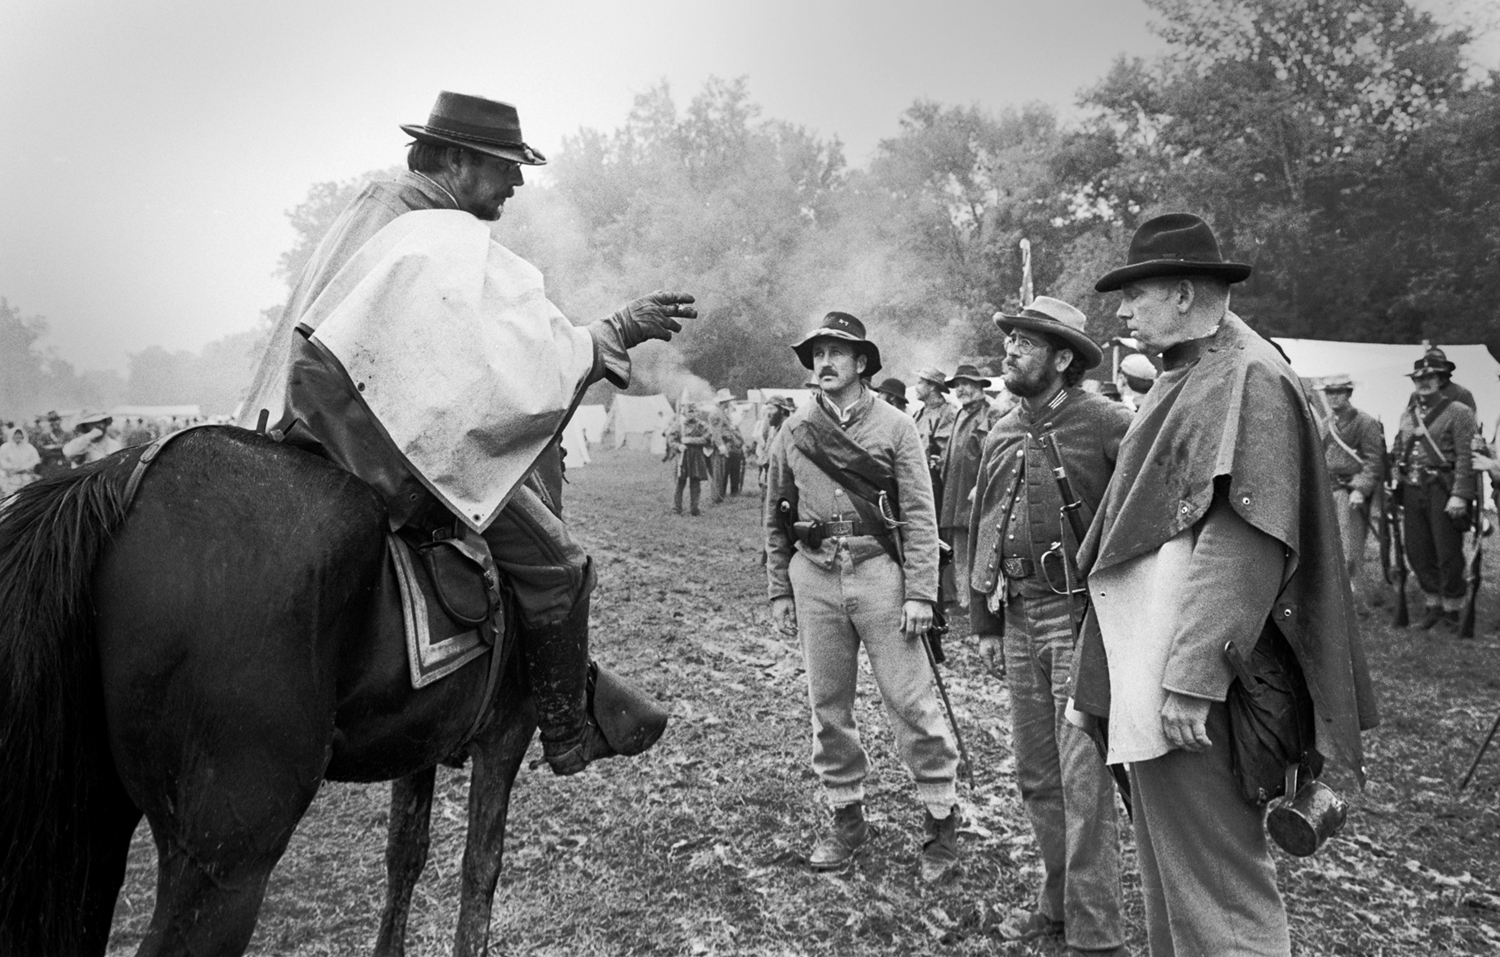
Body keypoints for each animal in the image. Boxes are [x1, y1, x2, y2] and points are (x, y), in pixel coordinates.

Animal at [0, 432, 540, 957]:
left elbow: (406, 853)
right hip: (224, 867)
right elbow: (481, 867)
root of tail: (126, 476)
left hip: (93, 833)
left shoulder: (421, 742)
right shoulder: (506, 735)